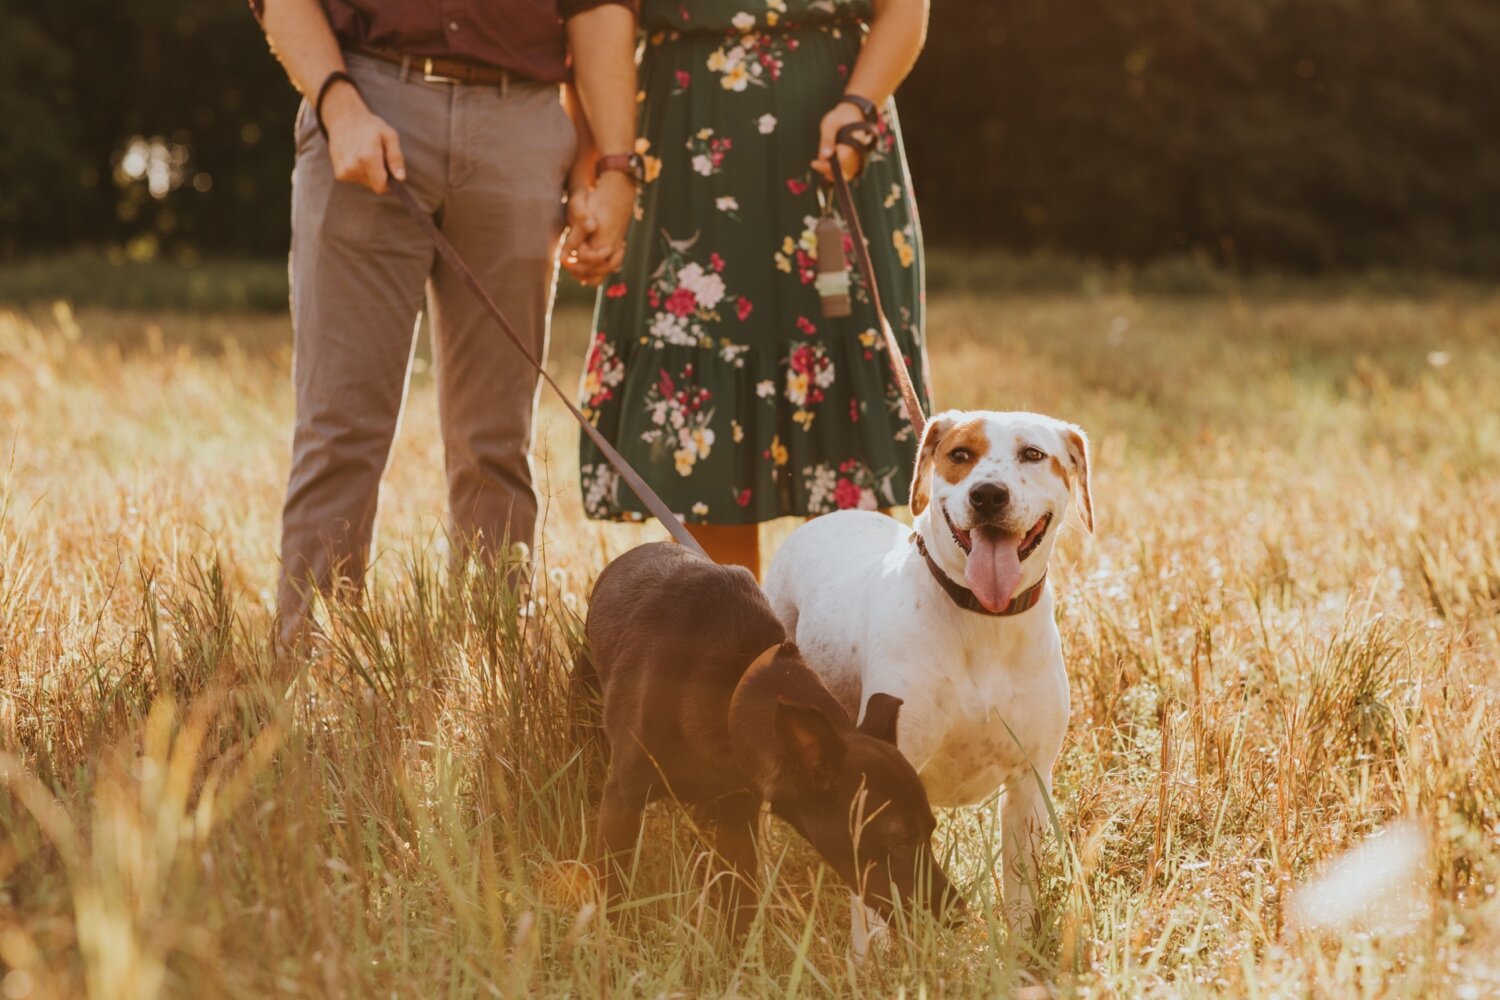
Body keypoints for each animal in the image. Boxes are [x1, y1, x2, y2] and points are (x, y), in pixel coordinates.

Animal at [573, 542, 960, 935]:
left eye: (931, 829)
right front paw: (616, 939)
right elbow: (615, 893)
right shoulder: (623, 799)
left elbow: (739, 904)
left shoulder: (737, 820)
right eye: (900, 838)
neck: (732, 691)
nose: (956, 913)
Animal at [768, 410, 1098, 941]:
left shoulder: (1029, 783)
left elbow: (1021, 891)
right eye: (960, 454)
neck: (983, 619)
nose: (987, 495)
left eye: (1032, 454)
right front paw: (871, 955)